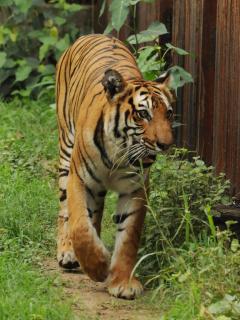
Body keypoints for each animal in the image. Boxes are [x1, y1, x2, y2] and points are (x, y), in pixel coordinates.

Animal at [55, 33, 173, 298]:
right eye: (143, 114)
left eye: (169, 114)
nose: (165, 144)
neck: (118, 152)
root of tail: (93, 34)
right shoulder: (79, 179)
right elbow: (80, 227)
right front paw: (99, 267)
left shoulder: (136, 188)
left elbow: (128, 236)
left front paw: (122, 282)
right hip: (66, 154)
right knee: (65, 211)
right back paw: (67, 253)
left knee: (95, 214)